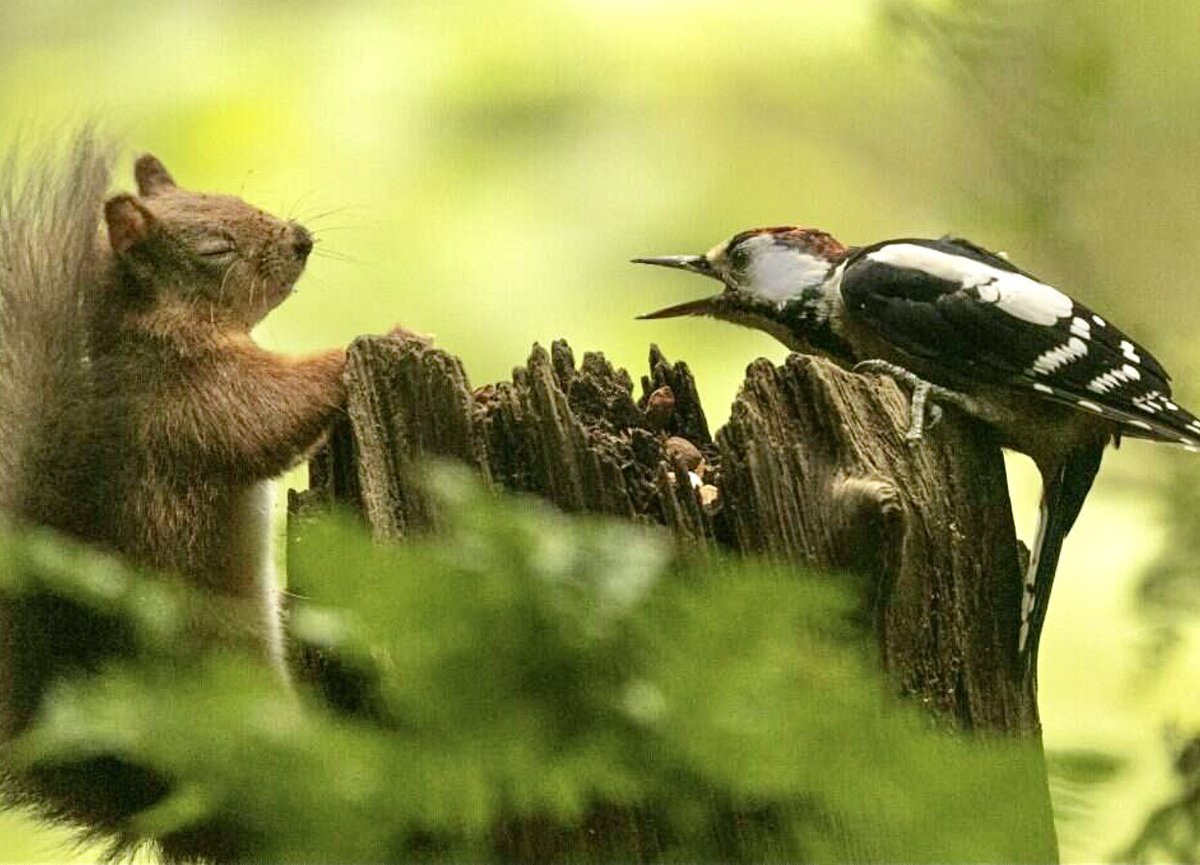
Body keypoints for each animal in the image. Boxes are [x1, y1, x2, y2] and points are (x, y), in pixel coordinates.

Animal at [0, 133, 348, 856]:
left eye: (236, 197)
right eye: (214, 249)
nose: (301, 237)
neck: (153, 330)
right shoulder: (193, 402)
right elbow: (274, 410)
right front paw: (375, 343)